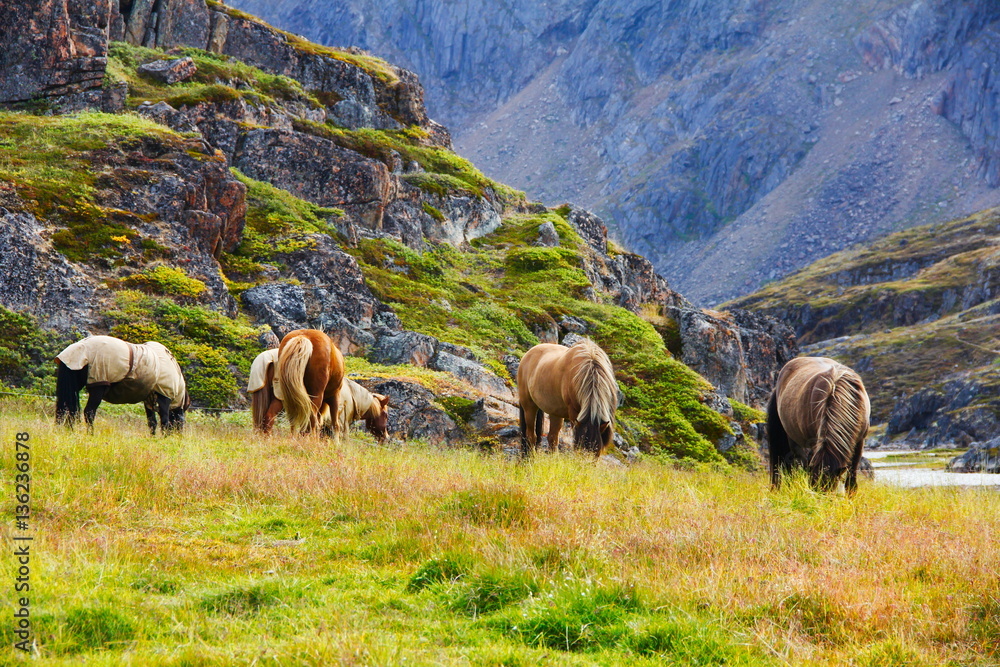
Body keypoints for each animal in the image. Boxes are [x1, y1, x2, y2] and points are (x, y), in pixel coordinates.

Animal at [55, 335, 191, 434]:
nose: (179, 436)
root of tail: (78, 348)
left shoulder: (149, 401)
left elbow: (152, 422)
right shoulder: (164, 398)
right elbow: (165, 422)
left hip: (73, 386)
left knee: (66, 410)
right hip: (98, 386)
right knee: (89, 412)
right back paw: (90, 434)